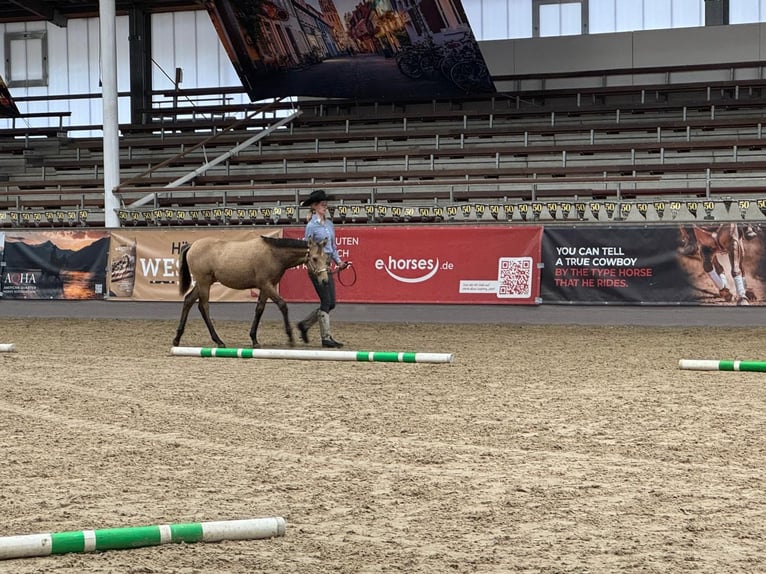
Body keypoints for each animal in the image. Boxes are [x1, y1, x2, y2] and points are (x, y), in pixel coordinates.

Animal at [173, 235, 329, 348]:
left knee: (188, 300)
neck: (273, 254)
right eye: (314, 258)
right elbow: (282, 305)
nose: (325, 280)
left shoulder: (267, 287)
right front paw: (290, 338)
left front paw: (254, 339)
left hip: (202, 283)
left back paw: (177, 338)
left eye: (326, 258)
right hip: (204, 283)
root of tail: (192, 245)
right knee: (203, 306)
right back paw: (218, 340)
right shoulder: (266, 285)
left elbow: (259, 309)